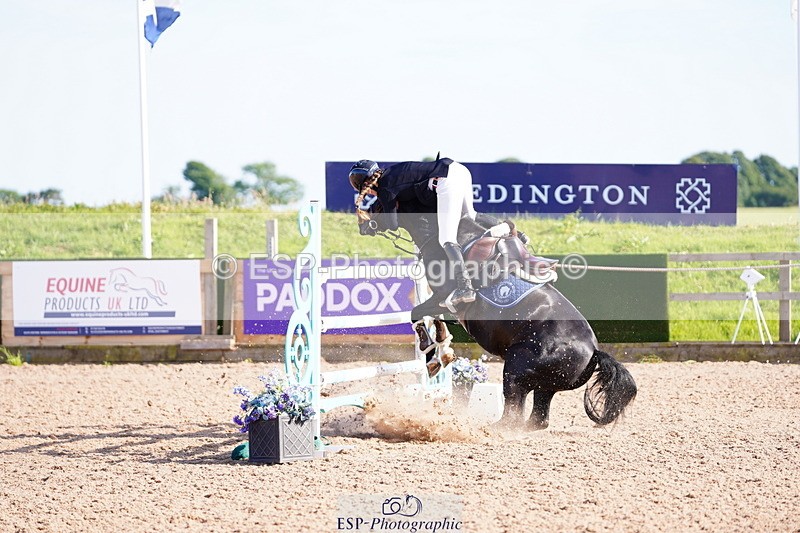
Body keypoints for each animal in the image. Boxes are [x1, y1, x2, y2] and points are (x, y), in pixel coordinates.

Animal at [357, 203, 637, 430]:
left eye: (375, 201)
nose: (362, 223)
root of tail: (594, 351)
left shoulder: (445, 296)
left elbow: (418, 314)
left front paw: (433, 351)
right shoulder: (444, 302)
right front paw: (440, 348)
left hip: (515, 370)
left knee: (514, 414)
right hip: (544, 387)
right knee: (536, 420)